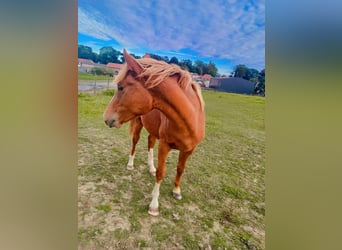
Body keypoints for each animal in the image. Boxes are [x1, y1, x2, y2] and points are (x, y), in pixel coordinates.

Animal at [103, 48, 206, 215]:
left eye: (121, 87)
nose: (105, 118)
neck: (190, 120)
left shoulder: (189, 149)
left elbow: (180, 169)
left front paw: (176, 191)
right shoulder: (164, 146)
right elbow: (161, 172)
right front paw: (154, 205)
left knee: (150, 143)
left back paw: (150, 167)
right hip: (138, 125)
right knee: (135, 142)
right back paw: (131, 164)